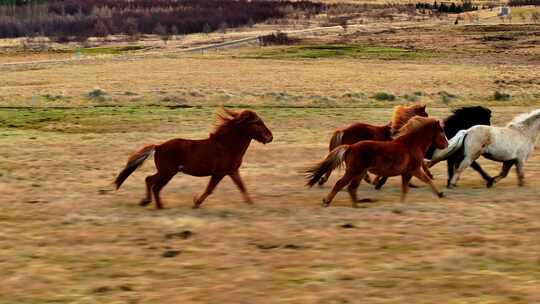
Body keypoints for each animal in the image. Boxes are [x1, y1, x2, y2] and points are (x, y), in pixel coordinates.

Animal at [114, 108, 274, 209]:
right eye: (257, 122)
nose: (270, 137)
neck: (226, 146)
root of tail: (158, 147)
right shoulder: (219, 173)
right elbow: (210, 189)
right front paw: (196, 202)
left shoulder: (232, 171)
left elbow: (242, 187)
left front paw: (251, 204)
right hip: (168, 172)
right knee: (152, 182)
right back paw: (153, 204)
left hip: (167, 172)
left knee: (152, 183)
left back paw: (153, 204)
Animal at [306, 116, 450, 207]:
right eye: (441, 132)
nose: (447, 144)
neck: (412, 144)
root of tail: (350, 147)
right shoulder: (414, 170)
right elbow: (427, 180)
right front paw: (440, 194)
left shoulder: (407, 173)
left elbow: (405, 189)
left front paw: (401, 203)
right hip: (353, 171)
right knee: (340, 184)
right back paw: (327, 201)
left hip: (359, 173)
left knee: (351, 188)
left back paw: (357, 205)